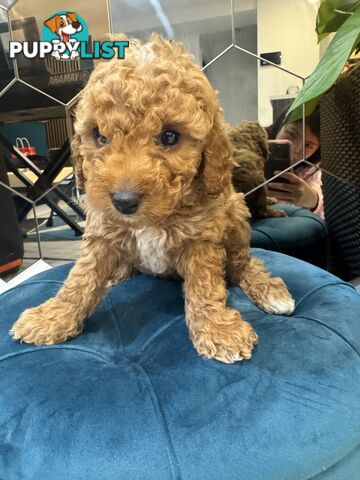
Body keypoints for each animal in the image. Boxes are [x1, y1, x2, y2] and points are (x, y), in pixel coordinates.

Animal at [9, 33, 294, 364]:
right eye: (99, 136)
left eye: (170, 136)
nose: (123, 201)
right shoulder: (101, 231)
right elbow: (80, 278)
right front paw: (53, 316)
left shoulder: (201, 238)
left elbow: (205, 285)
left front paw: (218, 329)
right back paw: (117, 273)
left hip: (235, 214)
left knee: (244, 263)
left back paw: (269, 289)